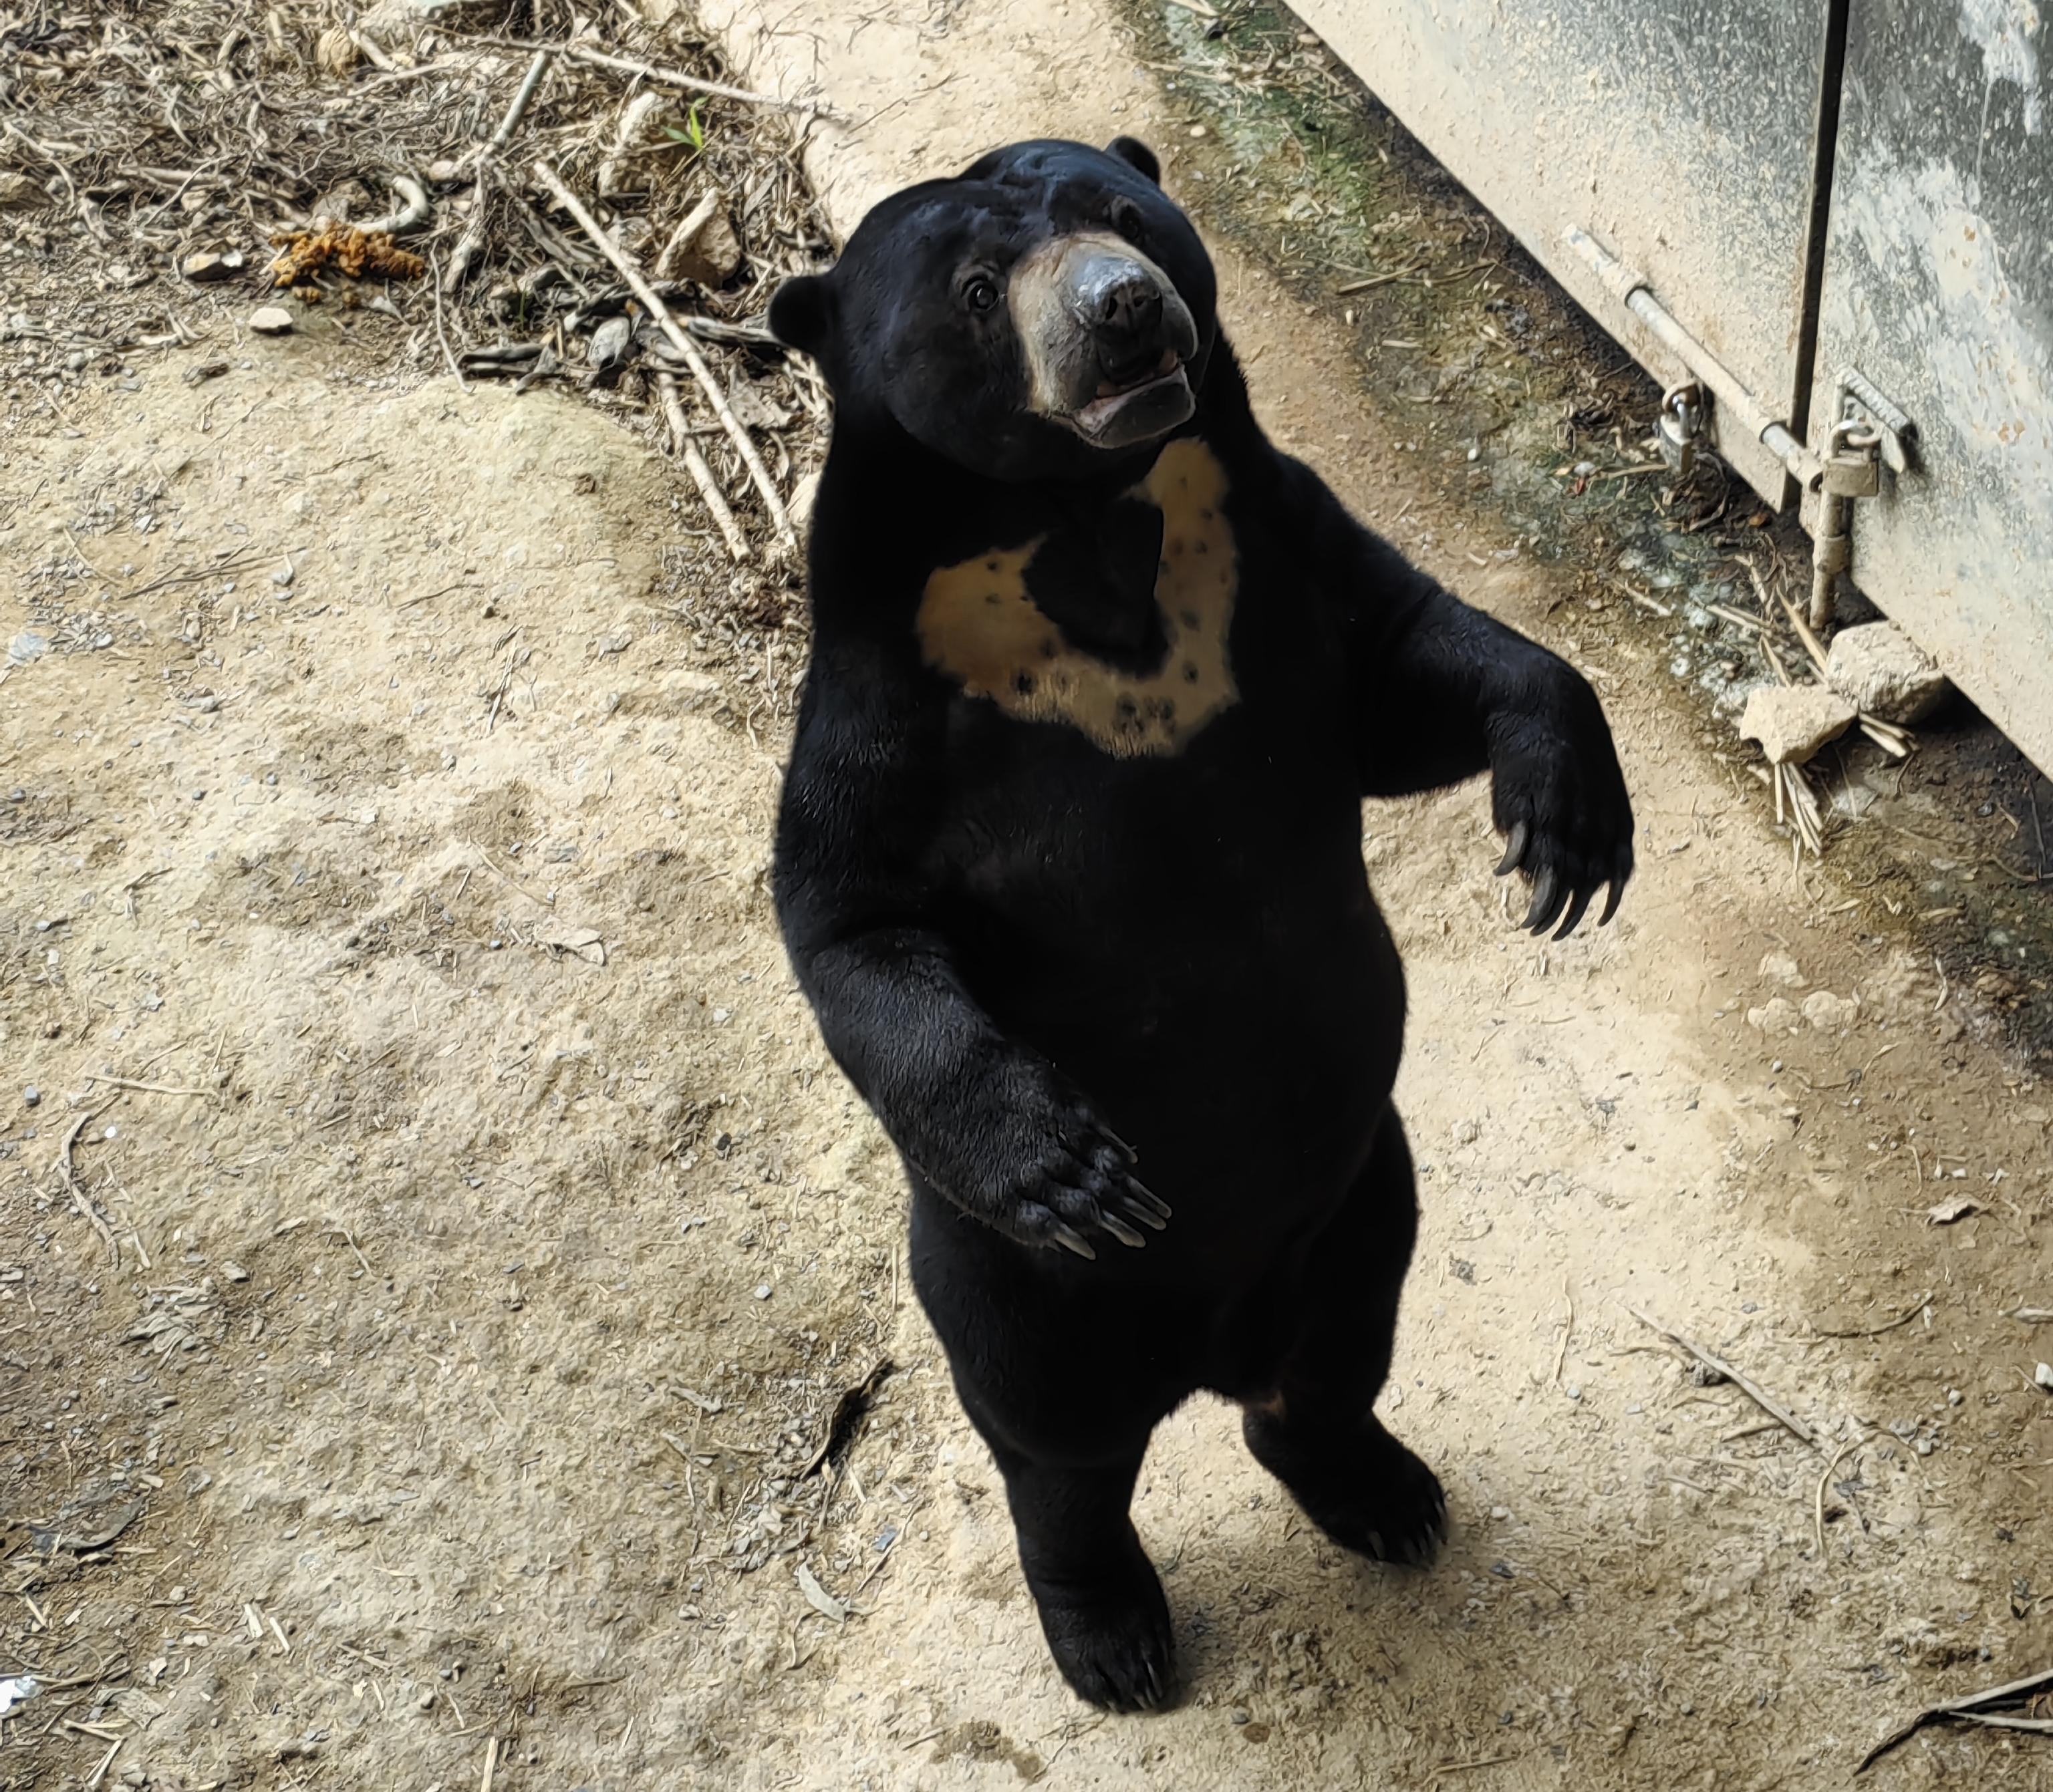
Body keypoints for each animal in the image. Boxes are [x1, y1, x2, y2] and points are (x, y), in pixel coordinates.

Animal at [767, 137, 1633, 1712]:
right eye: (976, 290)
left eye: (1120, 213)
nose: (1122, 310)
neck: (1082, 515)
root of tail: (1215, 1343)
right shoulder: (882, 702)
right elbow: (855, 921)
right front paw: (1068, 1162)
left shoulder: (1277, 545)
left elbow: (1412, 664)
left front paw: (1570, 837)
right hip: (1017, 1296)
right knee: (1059, 1456)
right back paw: (1111, 1635)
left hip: (1359, 1192)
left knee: (1338, 1353)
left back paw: (1379, 1490)